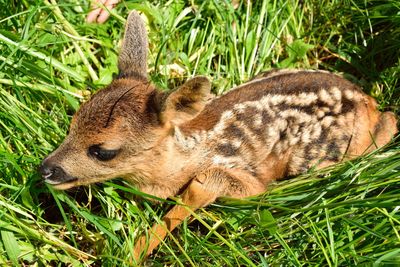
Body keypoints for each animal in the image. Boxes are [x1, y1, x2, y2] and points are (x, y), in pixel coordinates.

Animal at [39, 11, 396, 262]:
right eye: (72, 123)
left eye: (103, 151)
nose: (45, 169)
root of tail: (368, 101)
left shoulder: (240, 176)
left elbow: (202, 188)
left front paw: (132, 254)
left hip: (315, 153)